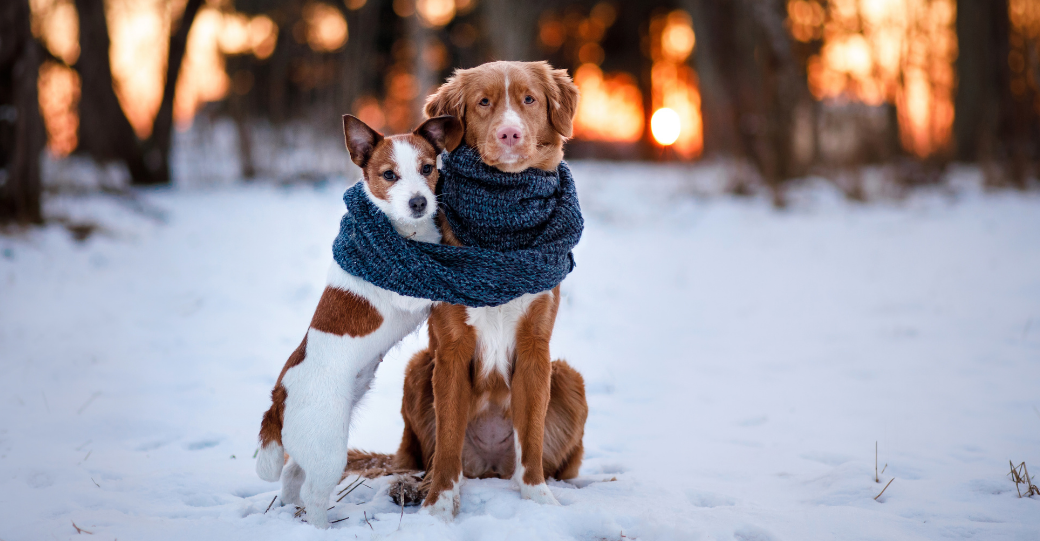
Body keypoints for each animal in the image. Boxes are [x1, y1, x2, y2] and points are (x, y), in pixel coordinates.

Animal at [253, 113, 461, 528]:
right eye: (389, 175)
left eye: (427, 168)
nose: (419, 202)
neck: (404, 231)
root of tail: (279, 397)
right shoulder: (408, 291)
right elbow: (438, 280)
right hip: (329, 450)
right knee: (314, 494)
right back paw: (319, 527)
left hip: (314, 449)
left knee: (292, 476)